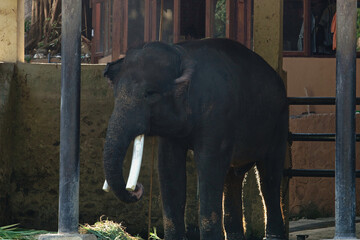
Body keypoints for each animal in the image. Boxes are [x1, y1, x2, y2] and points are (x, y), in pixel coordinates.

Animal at [102, 38, 288, 239]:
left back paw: (273, 236)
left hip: (279, 121)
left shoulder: (218, 114)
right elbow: (168, 166)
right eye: (116, 94)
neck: (181, 54)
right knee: (233, 178)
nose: (137, 189)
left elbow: (209, 165)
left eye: (150, 93)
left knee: (269, 176)